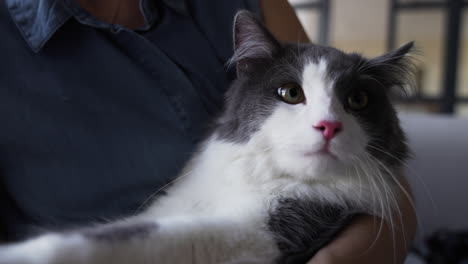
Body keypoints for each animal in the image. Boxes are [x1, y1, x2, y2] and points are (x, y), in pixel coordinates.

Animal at [0, 10, 414, 264]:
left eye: (357, 100)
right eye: (291, 93)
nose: (328, 125)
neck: (258, 178)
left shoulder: (265, 233)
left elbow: (127, 238)